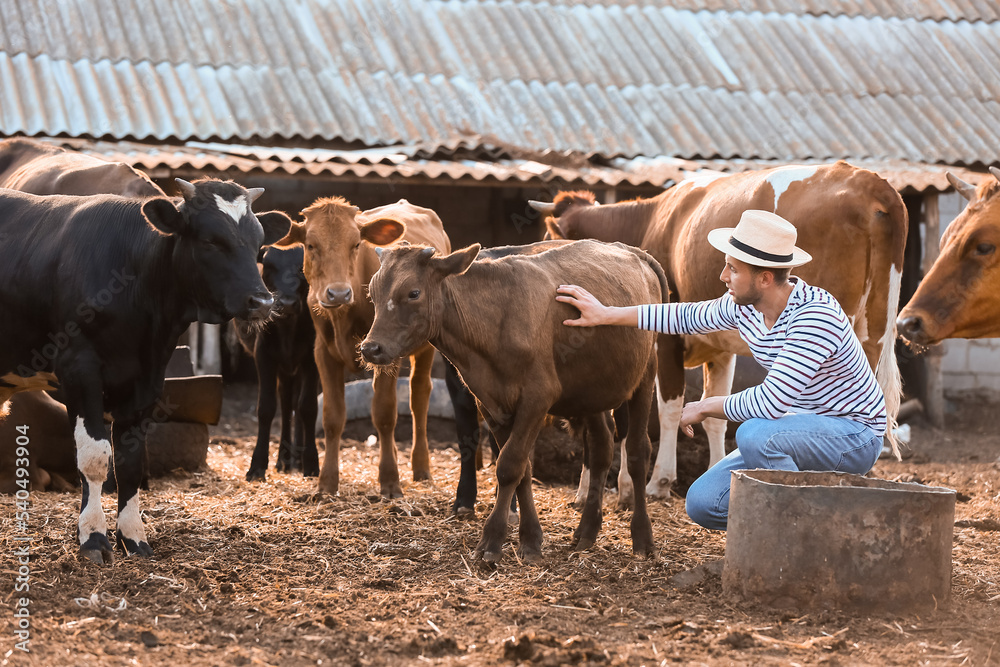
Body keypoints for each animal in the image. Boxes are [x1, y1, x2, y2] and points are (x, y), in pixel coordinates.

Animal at [0, 177, 290, 564]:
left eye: (259, 244)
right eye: (210, 240)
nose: (262, 301)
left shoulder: (147, 379)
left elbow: (130, 464)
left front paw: (132, 537)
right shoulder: (79, 370)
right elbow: (94, 458)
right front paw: (93, 537)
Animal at [276, 196, 452, 498]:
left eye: (356, 244)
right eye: (311, 245)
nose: (338, 293)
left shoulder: (386, 352)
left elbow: (384, 413)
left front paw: (390, 481)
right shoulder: (323, 353)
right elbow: (332, 417)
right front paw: (326, 483)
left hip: (426, 347)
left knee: (419, 397)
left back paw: (421, 467)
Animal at [356, 240, 668, 564]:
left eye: (413, 292)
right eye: (372, 293)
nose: (370, 348)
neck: (494, 323)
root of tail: (634, 251)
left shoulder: (537, 398)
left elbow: (509, 465)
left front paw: (492, 541)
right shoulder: (492, 404)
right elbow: (523, 471)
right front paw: (530, 539)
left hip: (646, 374)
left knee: (637, 452)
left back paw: (642, 537)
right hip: (592, 389)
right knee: (601, 448)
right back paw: (587, 531)